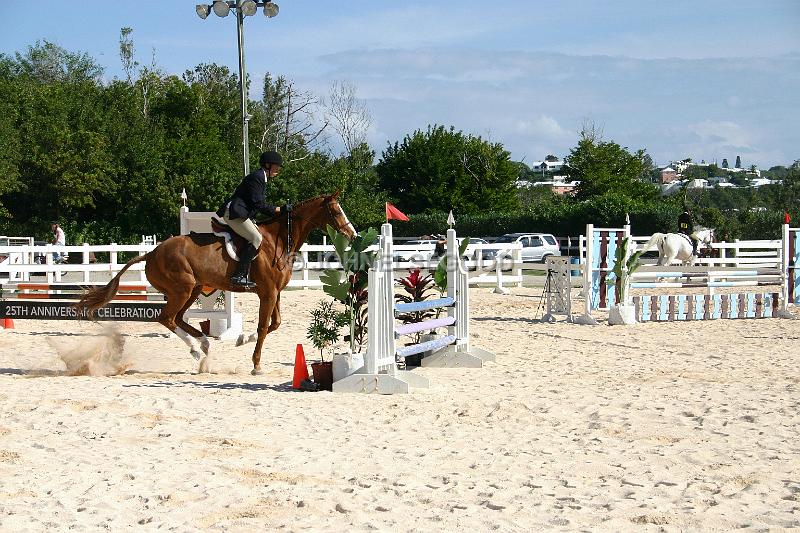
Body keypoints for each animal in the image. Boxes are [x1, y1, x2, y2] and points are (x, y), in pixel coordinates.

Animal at [75, 192, 356, 374]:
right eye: (336, 210)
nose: (352, 234)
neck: (277, 241)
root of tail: (152, 252)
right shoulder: (267, 292)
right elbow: (264, 327)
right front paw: (256, 364)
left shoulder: (274, 292)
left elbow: (274, 324)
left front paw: (241, 339)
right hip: (182, 289)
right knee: (167, 318)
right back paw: (196, 350)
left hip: (193, 289)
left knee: (178, 319)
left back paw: (203, 345)